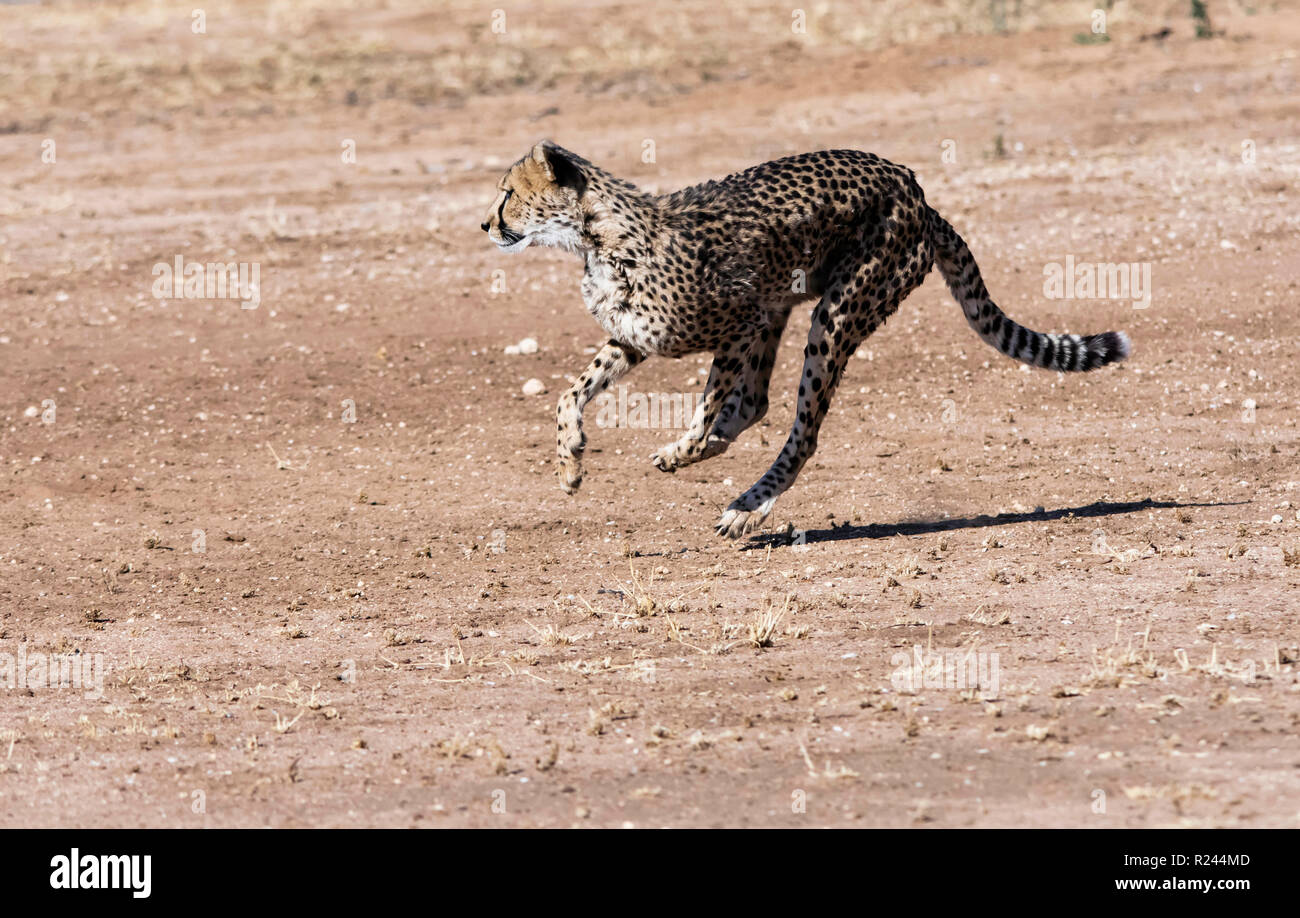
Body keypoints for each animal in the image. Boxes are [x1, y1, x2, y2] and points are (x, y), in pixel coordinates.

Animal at [480, 141, 1128, 535]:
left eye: (509, 192)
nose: (485, 223)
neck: (598, 238)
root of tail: (914, 187)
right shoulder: (637, 340)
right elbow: (571, 393)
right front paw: (570, 464)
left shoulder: (740, 321)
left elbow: (705, 408)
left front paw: (680, 452)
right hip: (785, 303)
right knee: (756, 403)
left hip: (835, 313)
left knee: (801, 430)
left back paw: (747, 506)